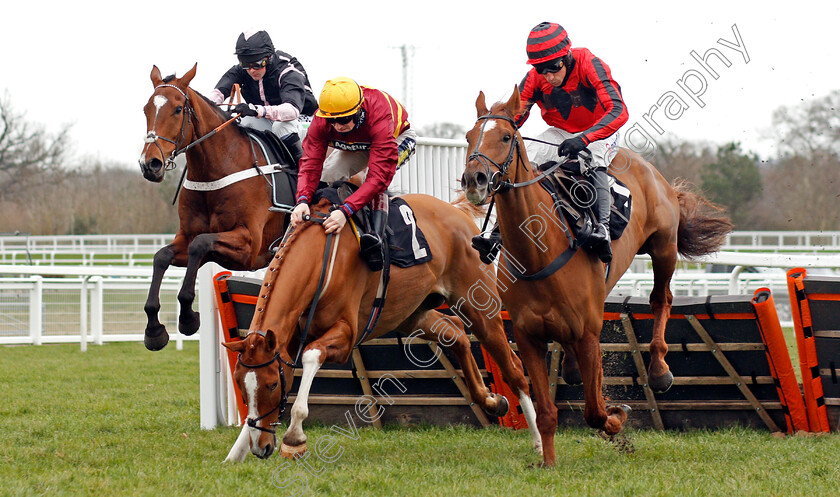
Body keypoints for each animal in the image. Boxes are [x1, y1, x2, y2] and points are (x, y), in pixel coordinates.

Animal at [139, 64, 288, 350]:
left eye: (178, 109)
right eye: (146, 109)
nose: (150, 164)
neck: (216, 169)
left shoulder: (249, 246)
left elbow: (200, 245)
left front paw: (187, 317)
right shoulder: (189, 237)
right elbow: (162, 256)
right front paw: (154, 329)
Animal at [220, 194, 540, 462]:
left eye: (272, 385)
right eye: (241, 385)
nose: (261, 448)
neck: (320, 260)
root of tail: (458, 214)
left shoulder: (345, 335)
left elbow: (311, 356)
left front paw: (294, 436)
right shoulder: (287, 338)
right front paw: (238, 451)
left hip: (480, 307)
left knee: (512, 366)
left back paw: (538, 442)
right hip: (412, 314)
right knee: (457, 333)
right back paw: (491, 400)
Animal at [460, 88, 736, 464]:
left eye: (505, 137)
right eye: (469, 136)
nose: (473, 180)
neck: (537, 251)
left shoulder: (589, 334)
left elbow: (594, 411)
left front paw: (617, 419)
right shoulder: (528, 337)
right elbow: (547, 412)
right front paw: (548, 463)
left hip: (663, 246)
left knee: (661, 299)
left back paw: (659, 370)